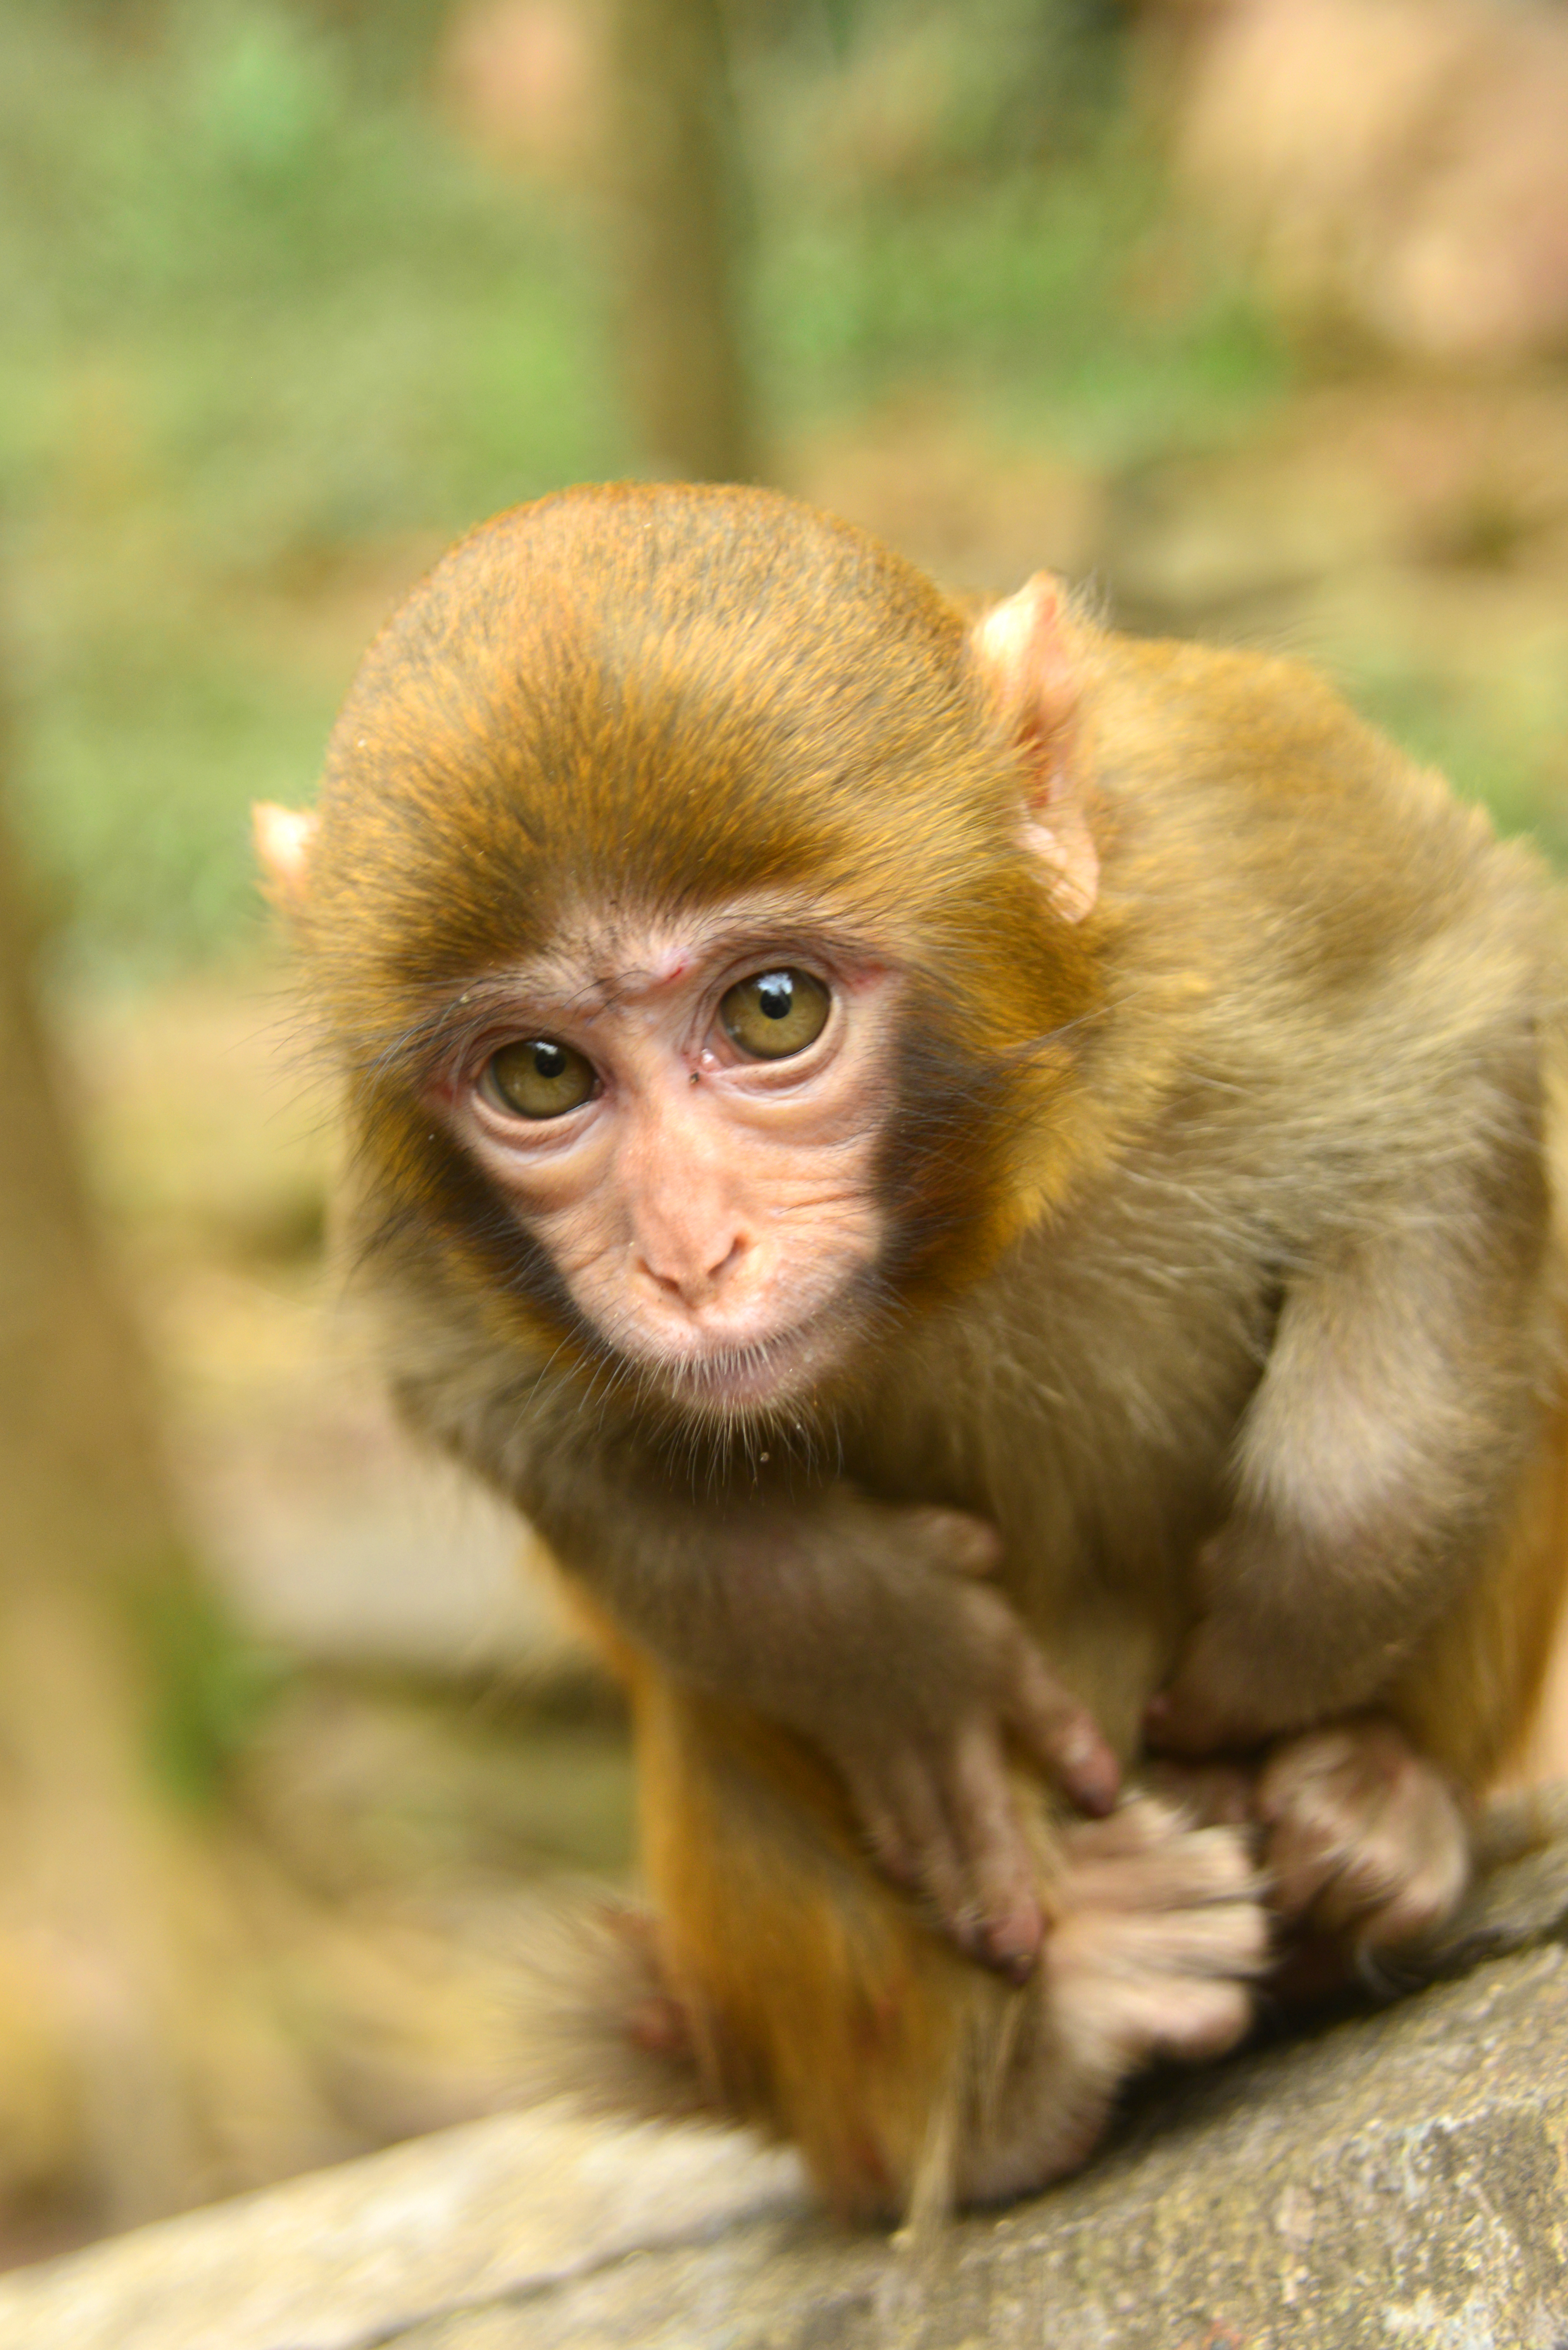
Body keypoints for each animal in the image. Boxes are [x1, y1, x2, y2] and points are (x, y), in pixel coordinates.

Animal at [263, 486, 1568, 2209]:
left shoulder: (1236, 843)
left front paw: (1305, 1607)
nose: (686, 1254)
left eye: (769, 1010)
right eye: (539, 1075)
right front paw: (897, 1651)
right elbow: (468, 1372)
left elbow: (1467, 994)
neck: (957, 1221)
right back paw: (1024, 2073)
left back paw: (1384, 1818)